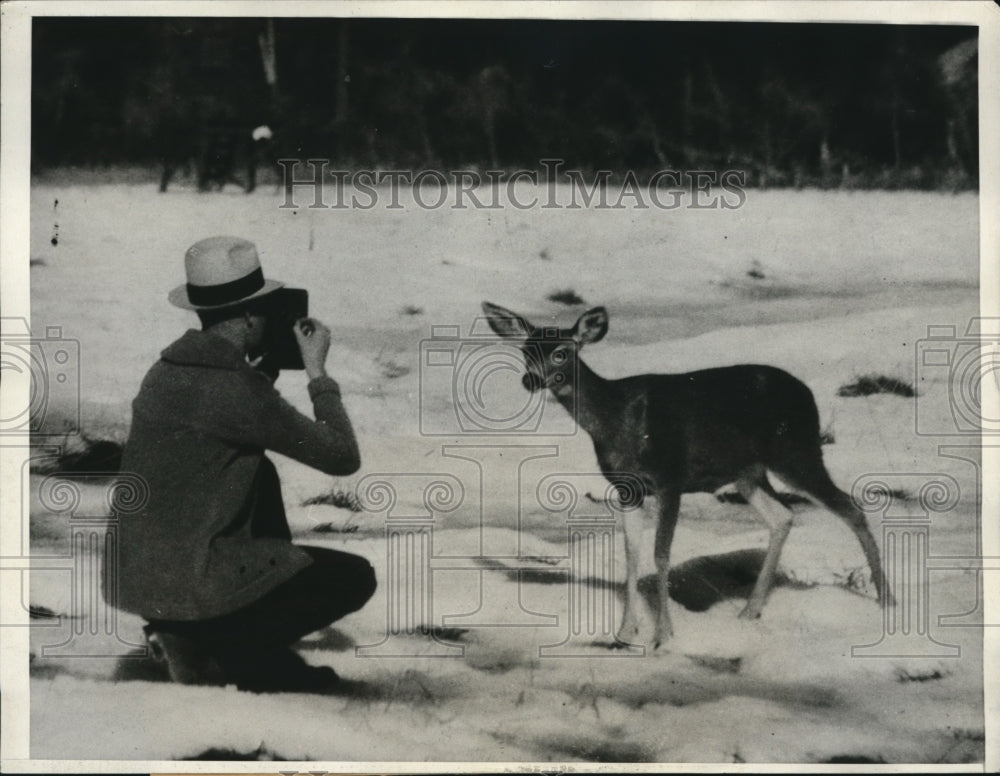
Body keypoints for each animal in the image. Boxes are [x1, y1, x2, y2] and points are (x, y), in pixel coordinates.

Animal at [482, 301, 893, 648]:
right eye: (525, 351)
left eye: (562, 352)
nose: (530, 381)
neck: (616, 419)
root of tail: (807, 393)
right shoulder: (627, 488)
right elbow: (631, 553)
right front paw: (624, 632)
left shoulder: (671, 477)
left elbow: (661, 553)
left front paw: (663, 634)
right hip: (749, 471)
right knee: (783, 515)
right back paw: (750, 610)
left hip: (796, 450)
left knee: (850, 507)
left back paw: (886, 601)